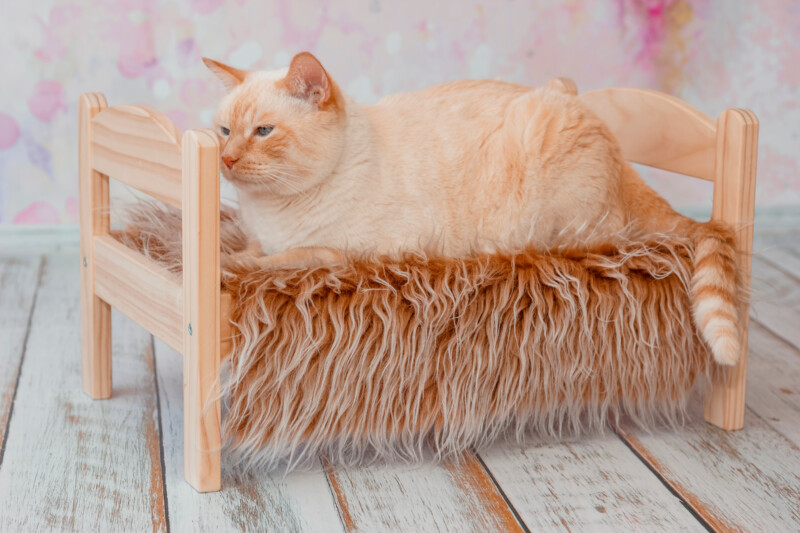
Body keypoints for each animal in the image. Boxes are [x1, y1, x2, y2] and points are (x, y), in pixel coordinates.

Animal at [203, 53, 740, 366]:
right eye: (224, 131)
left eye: (264, 132)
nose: (225, 160)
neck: (273, 209)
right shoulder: (262, 235)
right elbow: (255, 250)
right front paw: (233, 254)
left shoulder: (346, 256)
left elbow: (278, 261)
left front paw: (231, 266)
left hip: (560, 209)